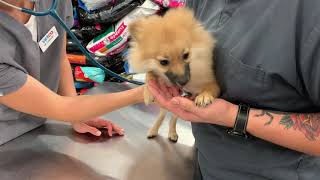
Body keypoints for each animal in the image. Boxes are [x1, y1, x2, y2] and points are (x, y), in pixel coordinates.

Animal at [127, 7, 220, 142]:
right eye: (163, 62)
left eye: (186, 55)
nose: (183, 81)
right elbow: (149, 73)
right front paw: (148, 92)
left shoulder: (211, 81)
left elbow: (211, 87)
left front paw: (204, 96)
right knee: (162, 115)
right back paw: (153, 130)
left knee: (173, 118)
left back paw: (172, 132)